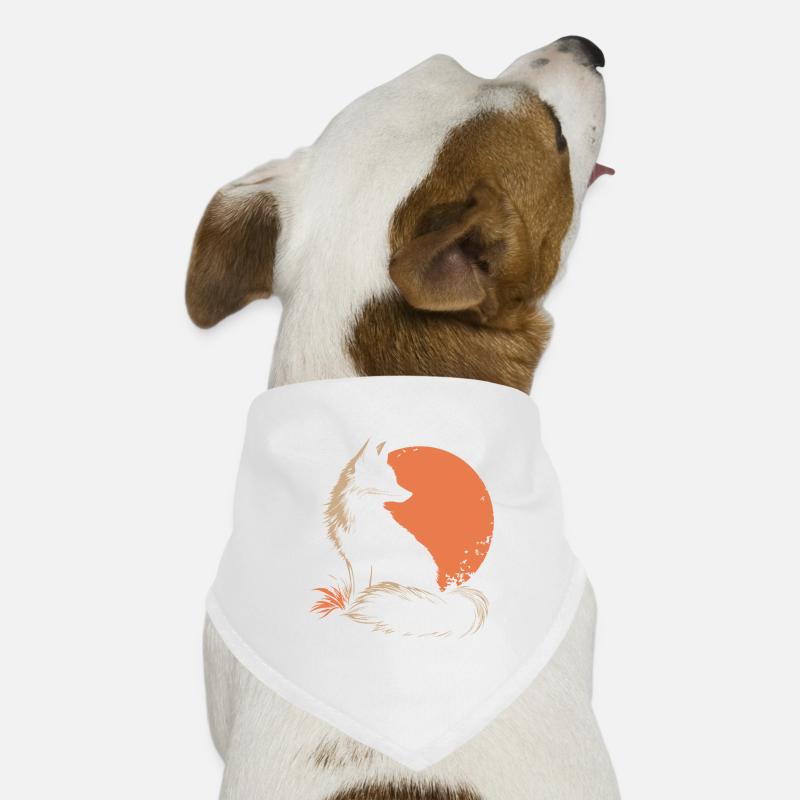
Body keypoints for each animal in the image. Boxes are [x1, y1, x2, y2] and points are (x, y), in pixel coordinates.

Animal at [319, 438, 488, 638]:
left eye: (394, 479)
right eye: (387, 480)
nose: (411, 494)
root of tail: (440, 599)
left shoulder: (372, 563)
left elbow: (363, 590)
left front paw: (351, 608)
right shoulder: (353, 561)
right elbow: (355, 589)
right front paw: (349, 605)